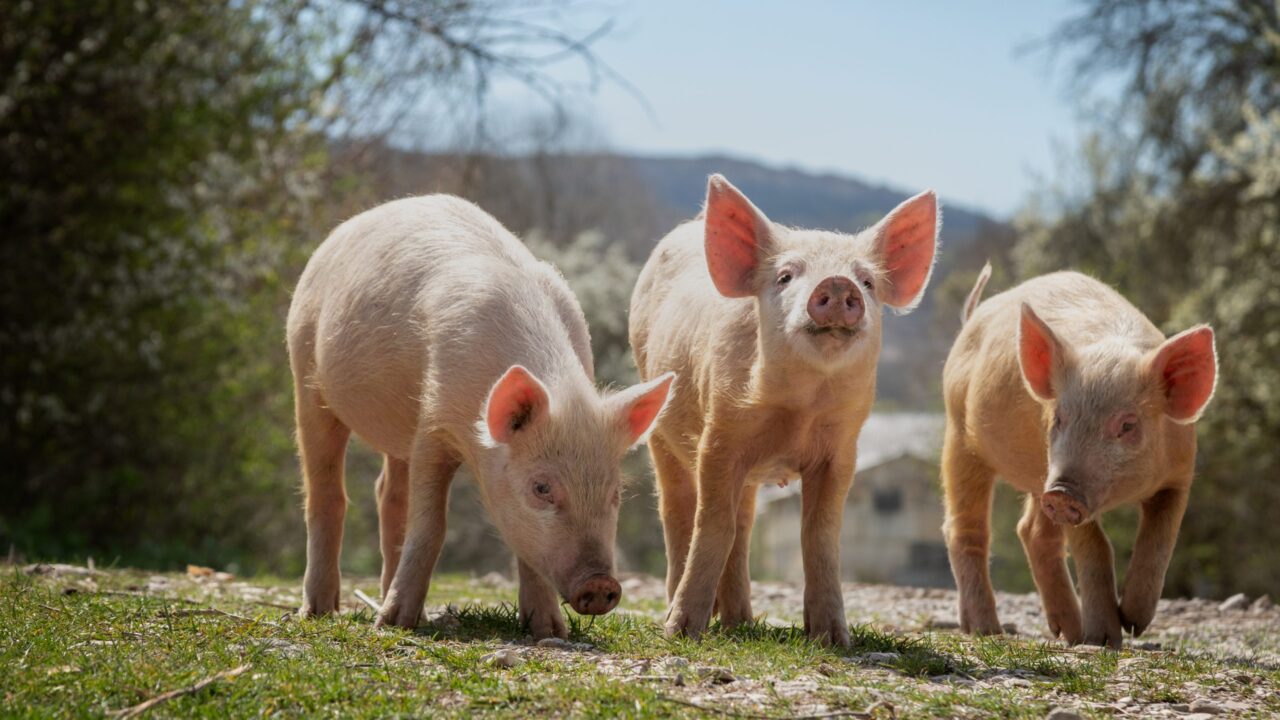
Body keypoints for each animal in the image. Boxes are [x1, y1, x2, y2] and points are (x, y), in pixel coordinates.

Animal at [287, 195, 675, 638]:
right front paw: (394, 624)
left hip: (396, 430)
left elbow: (521, 546)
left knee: (389, 495)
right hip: (305, 367)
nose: (600, 584)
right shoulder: (433, 423)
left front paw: (549, 632)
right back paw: (321, 611)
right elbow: (431, 526)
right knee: (327, 491)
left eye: (615, 493)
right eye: (541, 488)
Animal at [629, 174, 939, 645]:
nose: (837, 284)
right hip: (661, 433)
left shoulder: (842, 453)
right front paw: (681, 633)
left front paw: (833, 638)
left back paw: (740, 622)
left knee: (743, 524)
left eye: (867, 281)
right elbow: (712, 525)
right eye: (786, 276)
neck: (800, 410)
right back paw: (692, 617)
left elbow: (819, 535)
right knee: (678, 512)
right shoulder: (718, 438)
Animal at [942, 266, 1217, 648]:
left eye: (1127, 425)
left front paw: (1135, 621)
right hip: (960, 435)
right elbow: (1096, 545)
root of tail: (974, 315)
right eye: (1059, 418)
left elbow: (1160, 540)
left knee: (1031, 532)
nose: (1062, 493)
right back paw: (989, 631)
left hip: (1035, 473)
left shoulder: (1179, 475)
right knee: (965, 528)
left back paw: (1068, 634)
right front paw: (1104, 640)